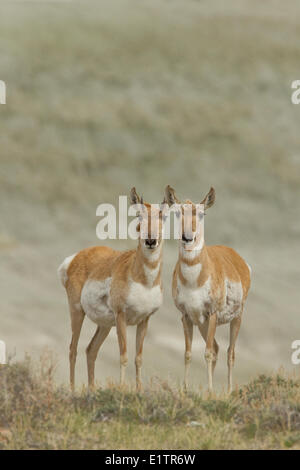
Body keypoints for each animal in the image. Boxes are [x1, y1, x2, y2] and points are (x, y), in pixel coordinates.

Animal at [57, 189, 168, 392]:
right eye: (139, 215)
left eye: (163, 216)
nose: (150, 240)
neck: (144, 281)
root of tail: (76, 257)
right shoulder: (121, 316)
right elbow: (123, 355)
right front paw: (123, 388)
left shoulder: (144, 320)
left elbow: (138, 358)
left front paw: (139, 390)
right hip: (77, 312)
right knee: (72, 349)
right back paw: (73, 389)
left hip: (105, 325)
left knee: (90, 350)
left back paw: (92, 389)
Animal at [164, 185, 251, 392]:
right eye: (178, 213)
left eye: (202, 213)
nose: (187, 237)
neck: (194, 281)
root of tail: (238, 259)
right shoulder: (187, 316)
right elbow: (188, 353)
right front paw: (185, 389)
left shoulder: (212, 314)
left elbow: (208, 353)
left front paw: (211, 391)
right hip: (202, 323)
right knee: (218, 348)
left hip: (236, 318)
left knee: (230, 352)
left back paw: (229, 390)